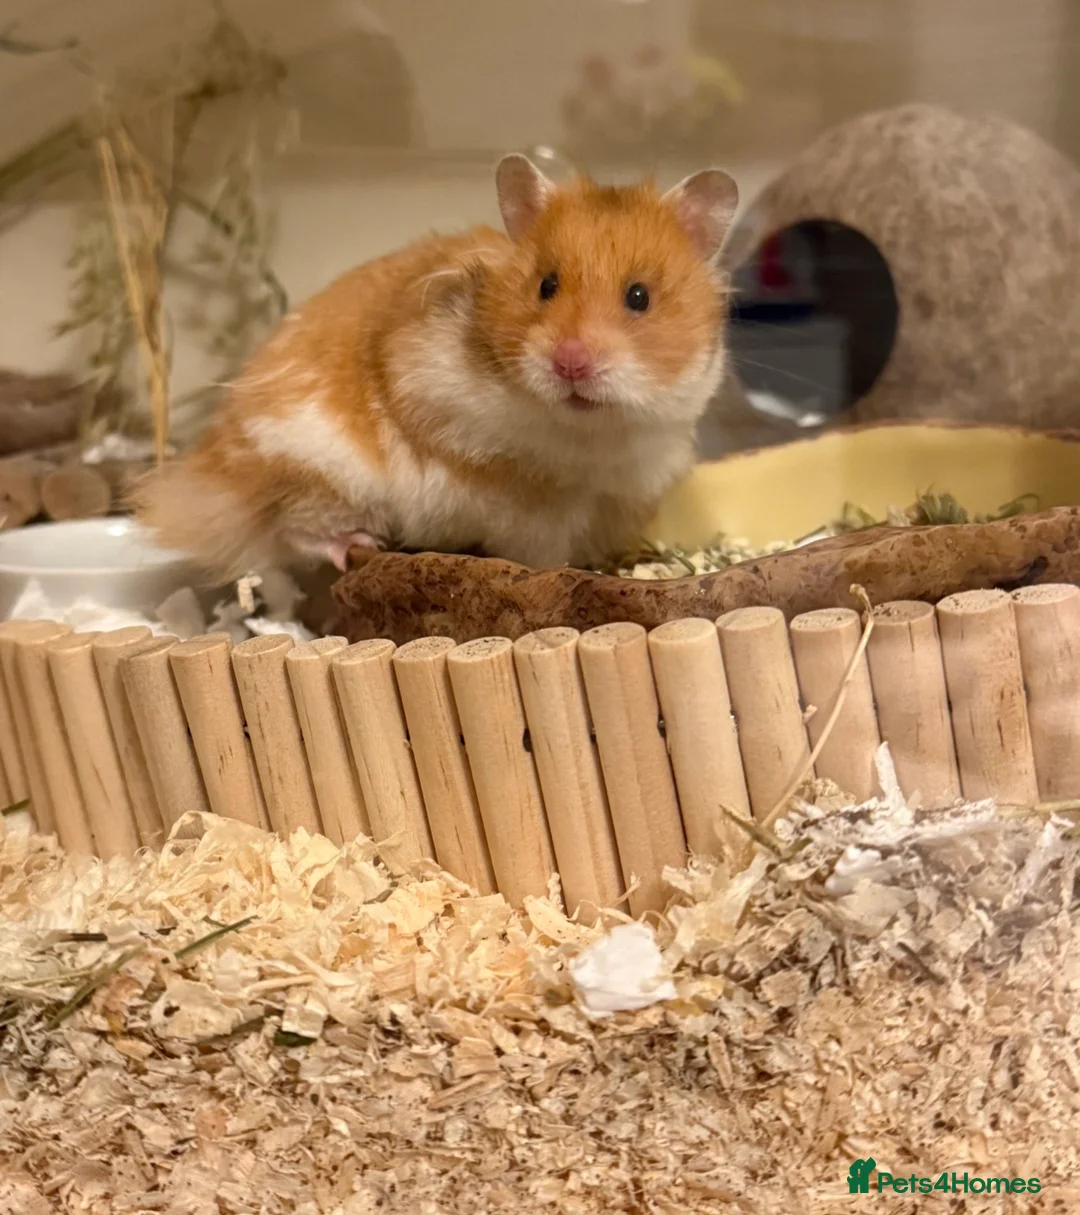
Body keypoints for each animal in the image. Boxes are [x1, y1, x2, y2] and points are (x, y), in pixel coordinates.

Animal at [132, 154, 739, 579]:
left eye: (639, 296)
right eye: (546, 285)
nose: (570, 362)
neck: (587, 432)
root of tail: (208, 473)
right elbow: (526, 523)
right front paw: (556, 568)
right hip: (315, 470)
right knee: (292, 529)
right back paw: (358, 544)